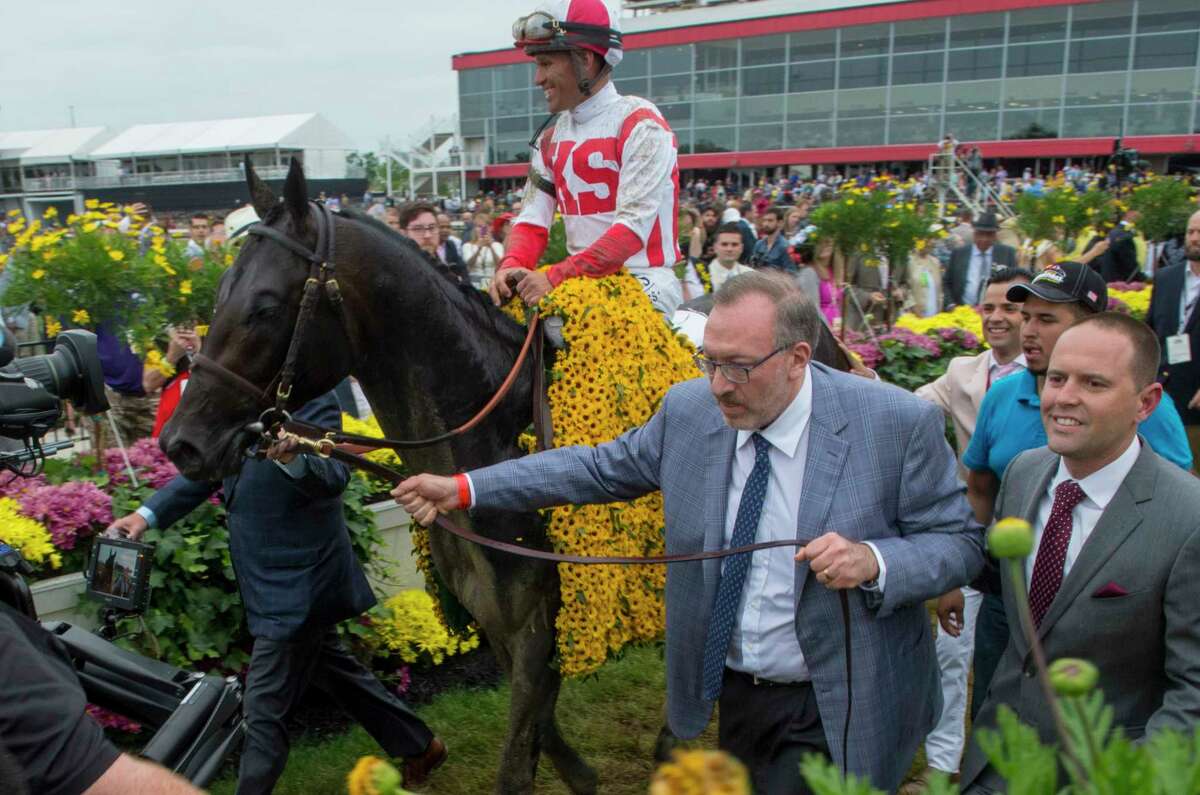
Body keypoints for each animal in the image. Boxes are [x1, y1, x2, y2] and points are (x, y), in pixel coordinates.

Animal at [162, 158, 854, 792]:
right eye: (218, 294)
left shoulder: (533, 630)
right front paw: (584, 775)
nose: (181, 441)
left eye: (265, 306)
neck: (489, 435)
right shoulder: (500, 625)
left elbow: (517, 761)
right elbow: (543, 731)